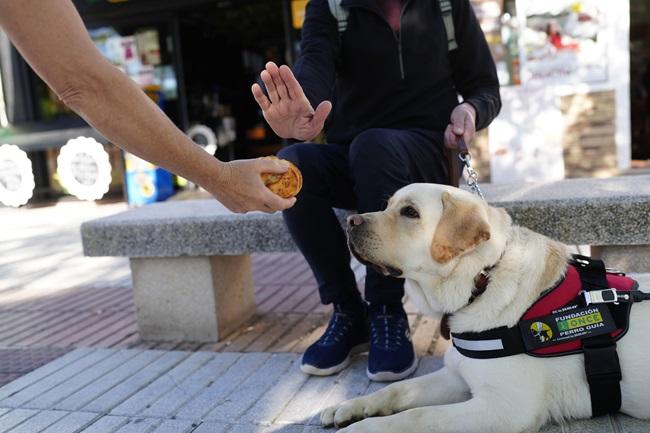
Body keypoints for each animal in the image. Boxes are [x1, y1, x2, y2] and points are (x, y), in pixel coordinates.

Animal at [320, 183, 648, 432]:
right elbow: (398, 389)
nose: (351, 222)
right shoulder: (456, 375)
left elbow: (419, 415)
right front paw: (350, 406)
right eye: (387, 205)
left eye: (410, 212)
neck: (481, 280)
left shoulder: (504, 408)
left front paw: (363, 429)